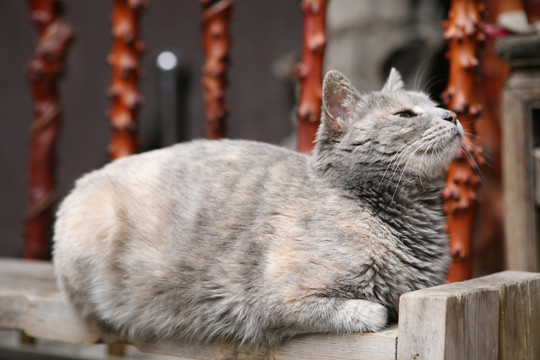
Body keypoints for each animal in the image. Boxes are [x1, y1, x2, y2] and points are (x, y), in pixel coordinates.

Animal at [51, 68, 464, 346]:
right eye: (406, 115)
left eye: (435, 105)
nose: (452, 115)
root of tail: (86, 180)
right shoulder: (279, 301)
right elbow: (368, 309)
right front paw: (376, 309)